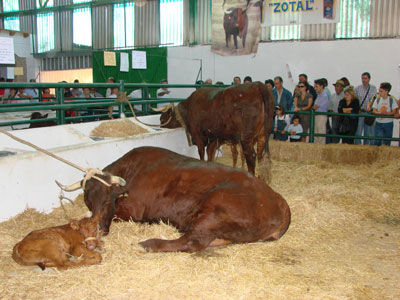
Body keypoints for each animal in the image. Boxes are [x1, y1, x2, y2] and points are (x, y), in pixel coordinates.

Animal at [56, 146, 290, 252]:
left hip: (215, 209)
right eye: (87, 200)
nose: (99, 231)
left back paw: (148, 244)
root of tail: (278, 199)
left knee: (191, 242)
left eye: (107, 201)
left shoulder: (133, 210)